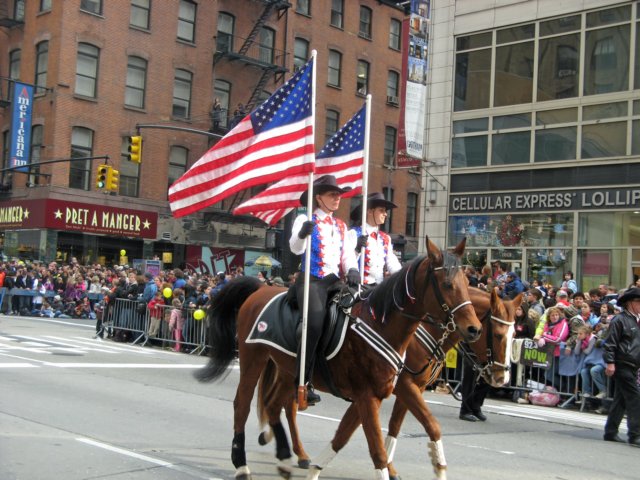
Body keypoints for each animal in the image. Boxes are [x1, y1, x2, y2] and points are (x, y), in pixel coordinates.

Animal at [195, 237, 480, 480]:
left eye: (467, 285)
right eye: (447, 285)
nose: (473, 329)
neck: (380, 324)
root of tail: (261, 289)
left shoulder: (382, 393)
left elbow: (355, 433)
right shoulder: (375, 394)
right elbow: (377, 450)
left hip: (288, 370)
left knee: (275, 405)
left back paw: (287, 458)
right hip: (252, 360)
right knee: (242, 405)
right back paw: (242, 464)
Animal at [258, 286, 524, 478]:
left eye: (514, 335)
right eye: (497, 334)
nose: (502, 378)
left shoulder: (407, 389)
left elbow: (390, 426)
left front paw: (390, 467)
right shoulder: (402, 387)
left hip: (287, 373)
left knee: (278, 404)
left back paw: (283, 444)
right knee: (287, 406)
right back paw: (296, 451)